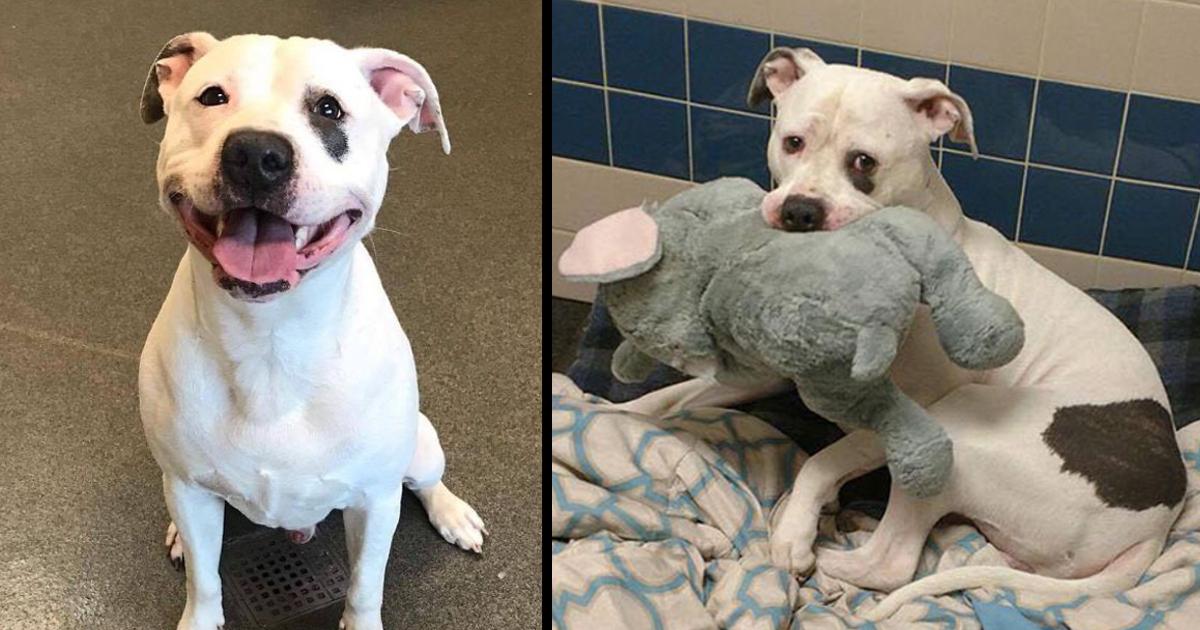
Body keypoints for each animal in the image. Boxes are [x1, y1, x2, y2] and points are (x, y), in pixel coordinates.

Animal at [141, 34, 492, 628]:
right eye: (212, 96)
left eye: (329, 109)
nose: (256, 155)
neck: (269, 338)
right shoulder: (188, 489)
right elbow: (205, 580)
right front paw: (200, 611)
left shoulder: (374, 503)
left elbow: (365, 585)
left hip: (421, 448)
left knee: (425, 482)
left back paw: (452, 513)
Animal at [619, 46, 1190, 614]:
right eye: (793, 142)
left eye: (864, 162)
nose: (800, 210)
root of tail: (1156, 528)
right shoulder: (778, 374)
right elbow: (680, 394)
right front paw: (620, 415)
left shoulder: (899, 423)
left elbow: (821, 462)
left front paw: (795, 533)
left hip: (958, 430)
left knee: (891, 564)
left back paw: (827, 552)